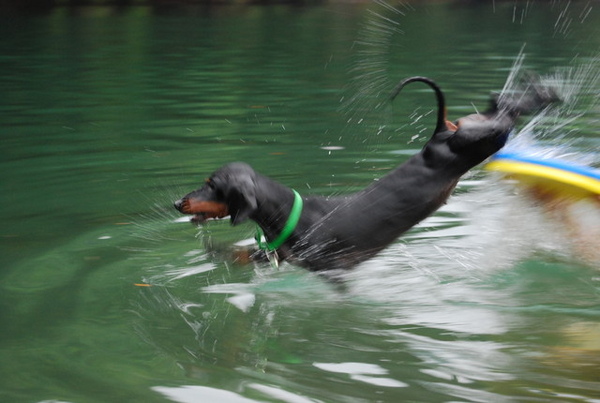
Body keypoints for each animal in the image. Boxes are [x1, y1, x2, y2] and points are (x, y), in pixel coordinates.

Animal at [175, 76, 556, 272]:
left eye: (212, 186)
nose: (178, 203)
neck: (292, 212)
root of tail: (437, 137)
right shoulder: (276, 256)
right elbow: (242, 255)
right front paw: (215, 252)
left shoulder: (327, 267)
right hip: (472, 129)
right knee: (496, 105)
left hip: (480, 141)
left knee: (507, 112)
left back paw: (543, 94)